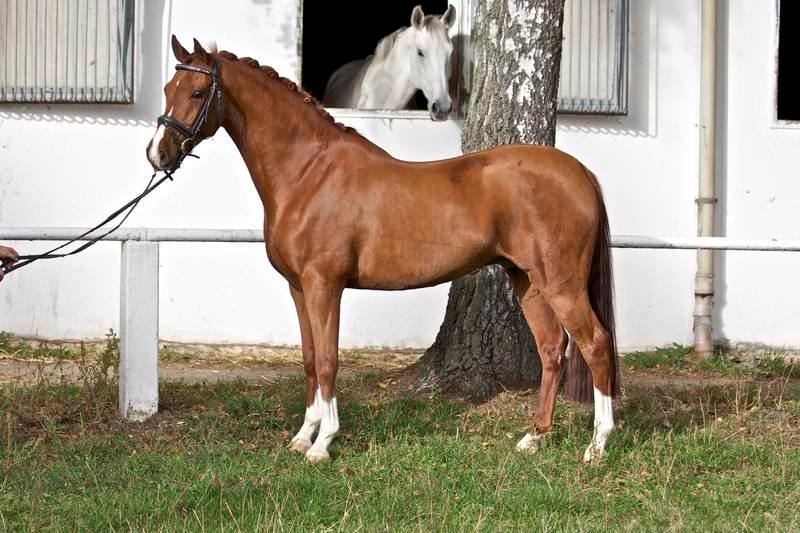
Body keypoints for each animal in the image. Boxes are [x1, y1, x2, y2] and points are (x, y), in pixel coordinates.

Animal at [147, 37, 620, 463]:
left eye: (196, 92)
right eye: (168, 89)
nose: (157, 154)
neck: (309, 172)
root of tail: (580, 172)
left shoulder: (324, 286)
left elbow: (328, 361)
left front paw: (322, 444)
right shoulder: (299, 289)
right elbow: (309, 360)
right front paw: (302, 436)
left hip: (561, 284)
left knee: (595, 343)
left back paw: (597, 446)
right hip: (527, 280)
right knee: (552, 349)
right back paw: (533, 438)